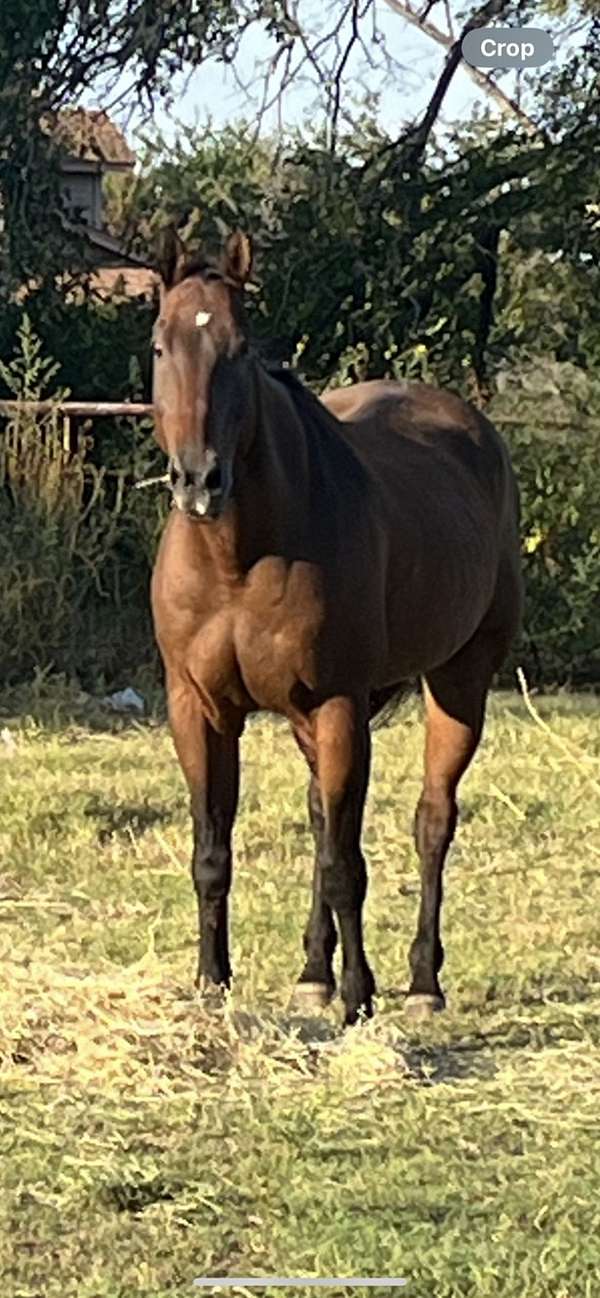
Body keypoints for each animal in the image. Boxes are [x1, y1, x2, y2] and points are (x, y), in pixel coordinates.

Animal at [150, 228, 522, 1027]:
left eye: (240, 348)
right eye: (162, 345)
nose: (200, 481)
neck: (239, 558)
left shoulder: (338, 704)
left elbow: (345, 863)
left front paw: (358, 998)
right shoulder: (199, 709)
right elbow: (214, 852)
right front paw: (211, 984)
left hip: (458, 681)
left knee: (431, 820)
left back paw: (421, 982)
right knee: (324, 814)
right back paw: (312, 972)